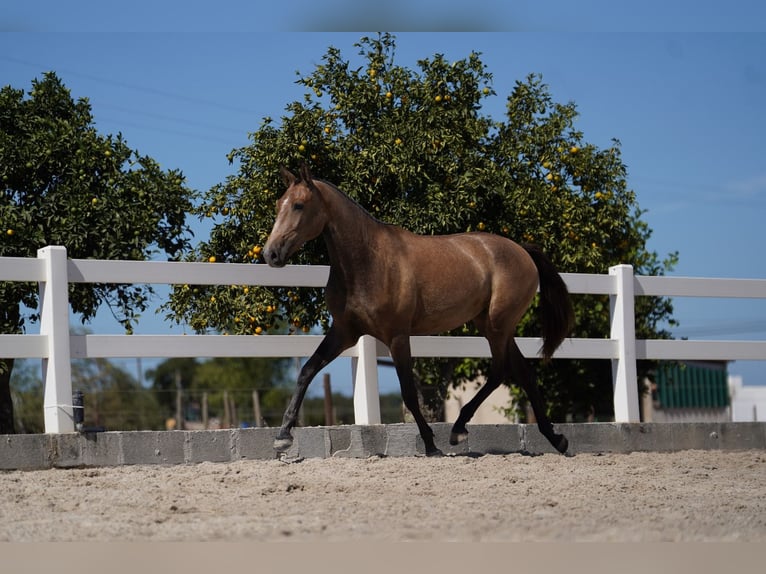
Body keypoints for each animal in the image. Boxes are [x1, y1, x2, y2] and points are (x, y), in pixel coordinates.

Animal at [264, 164, 576, 456]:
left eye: (299, 205)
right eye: (279, 204)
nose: (271, 253)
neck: (367, 261)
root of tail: (523, 251)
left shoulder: (397, 336)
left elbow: (409, 393)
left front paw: (430, 444)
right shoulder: (344, 332)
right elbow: (307, 370)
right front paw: (283, 436)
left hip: (497, 325)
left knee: (500, 371)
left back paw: (459, 430)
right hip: (492, 325)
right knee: (524, 372)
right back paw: (557, 439)